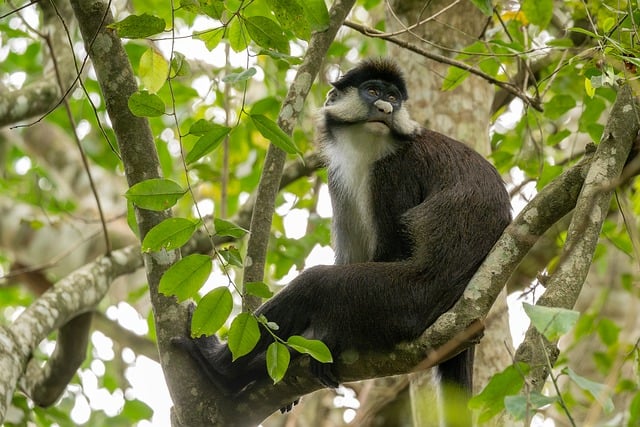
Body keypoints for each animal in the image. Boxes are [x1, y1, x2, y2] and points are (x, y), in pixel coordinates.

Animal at [175, 58, 512, 412]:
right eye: (373, 91)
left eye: (393, 97)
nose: (385, 108)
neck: (367, 149)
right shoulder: (337, 176)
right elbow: (352, 254)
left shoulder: (394, 170)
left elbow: (393, 249)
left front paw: (319, 343)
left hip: (405, 303)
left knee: (317, 284)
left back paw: (221, 370)